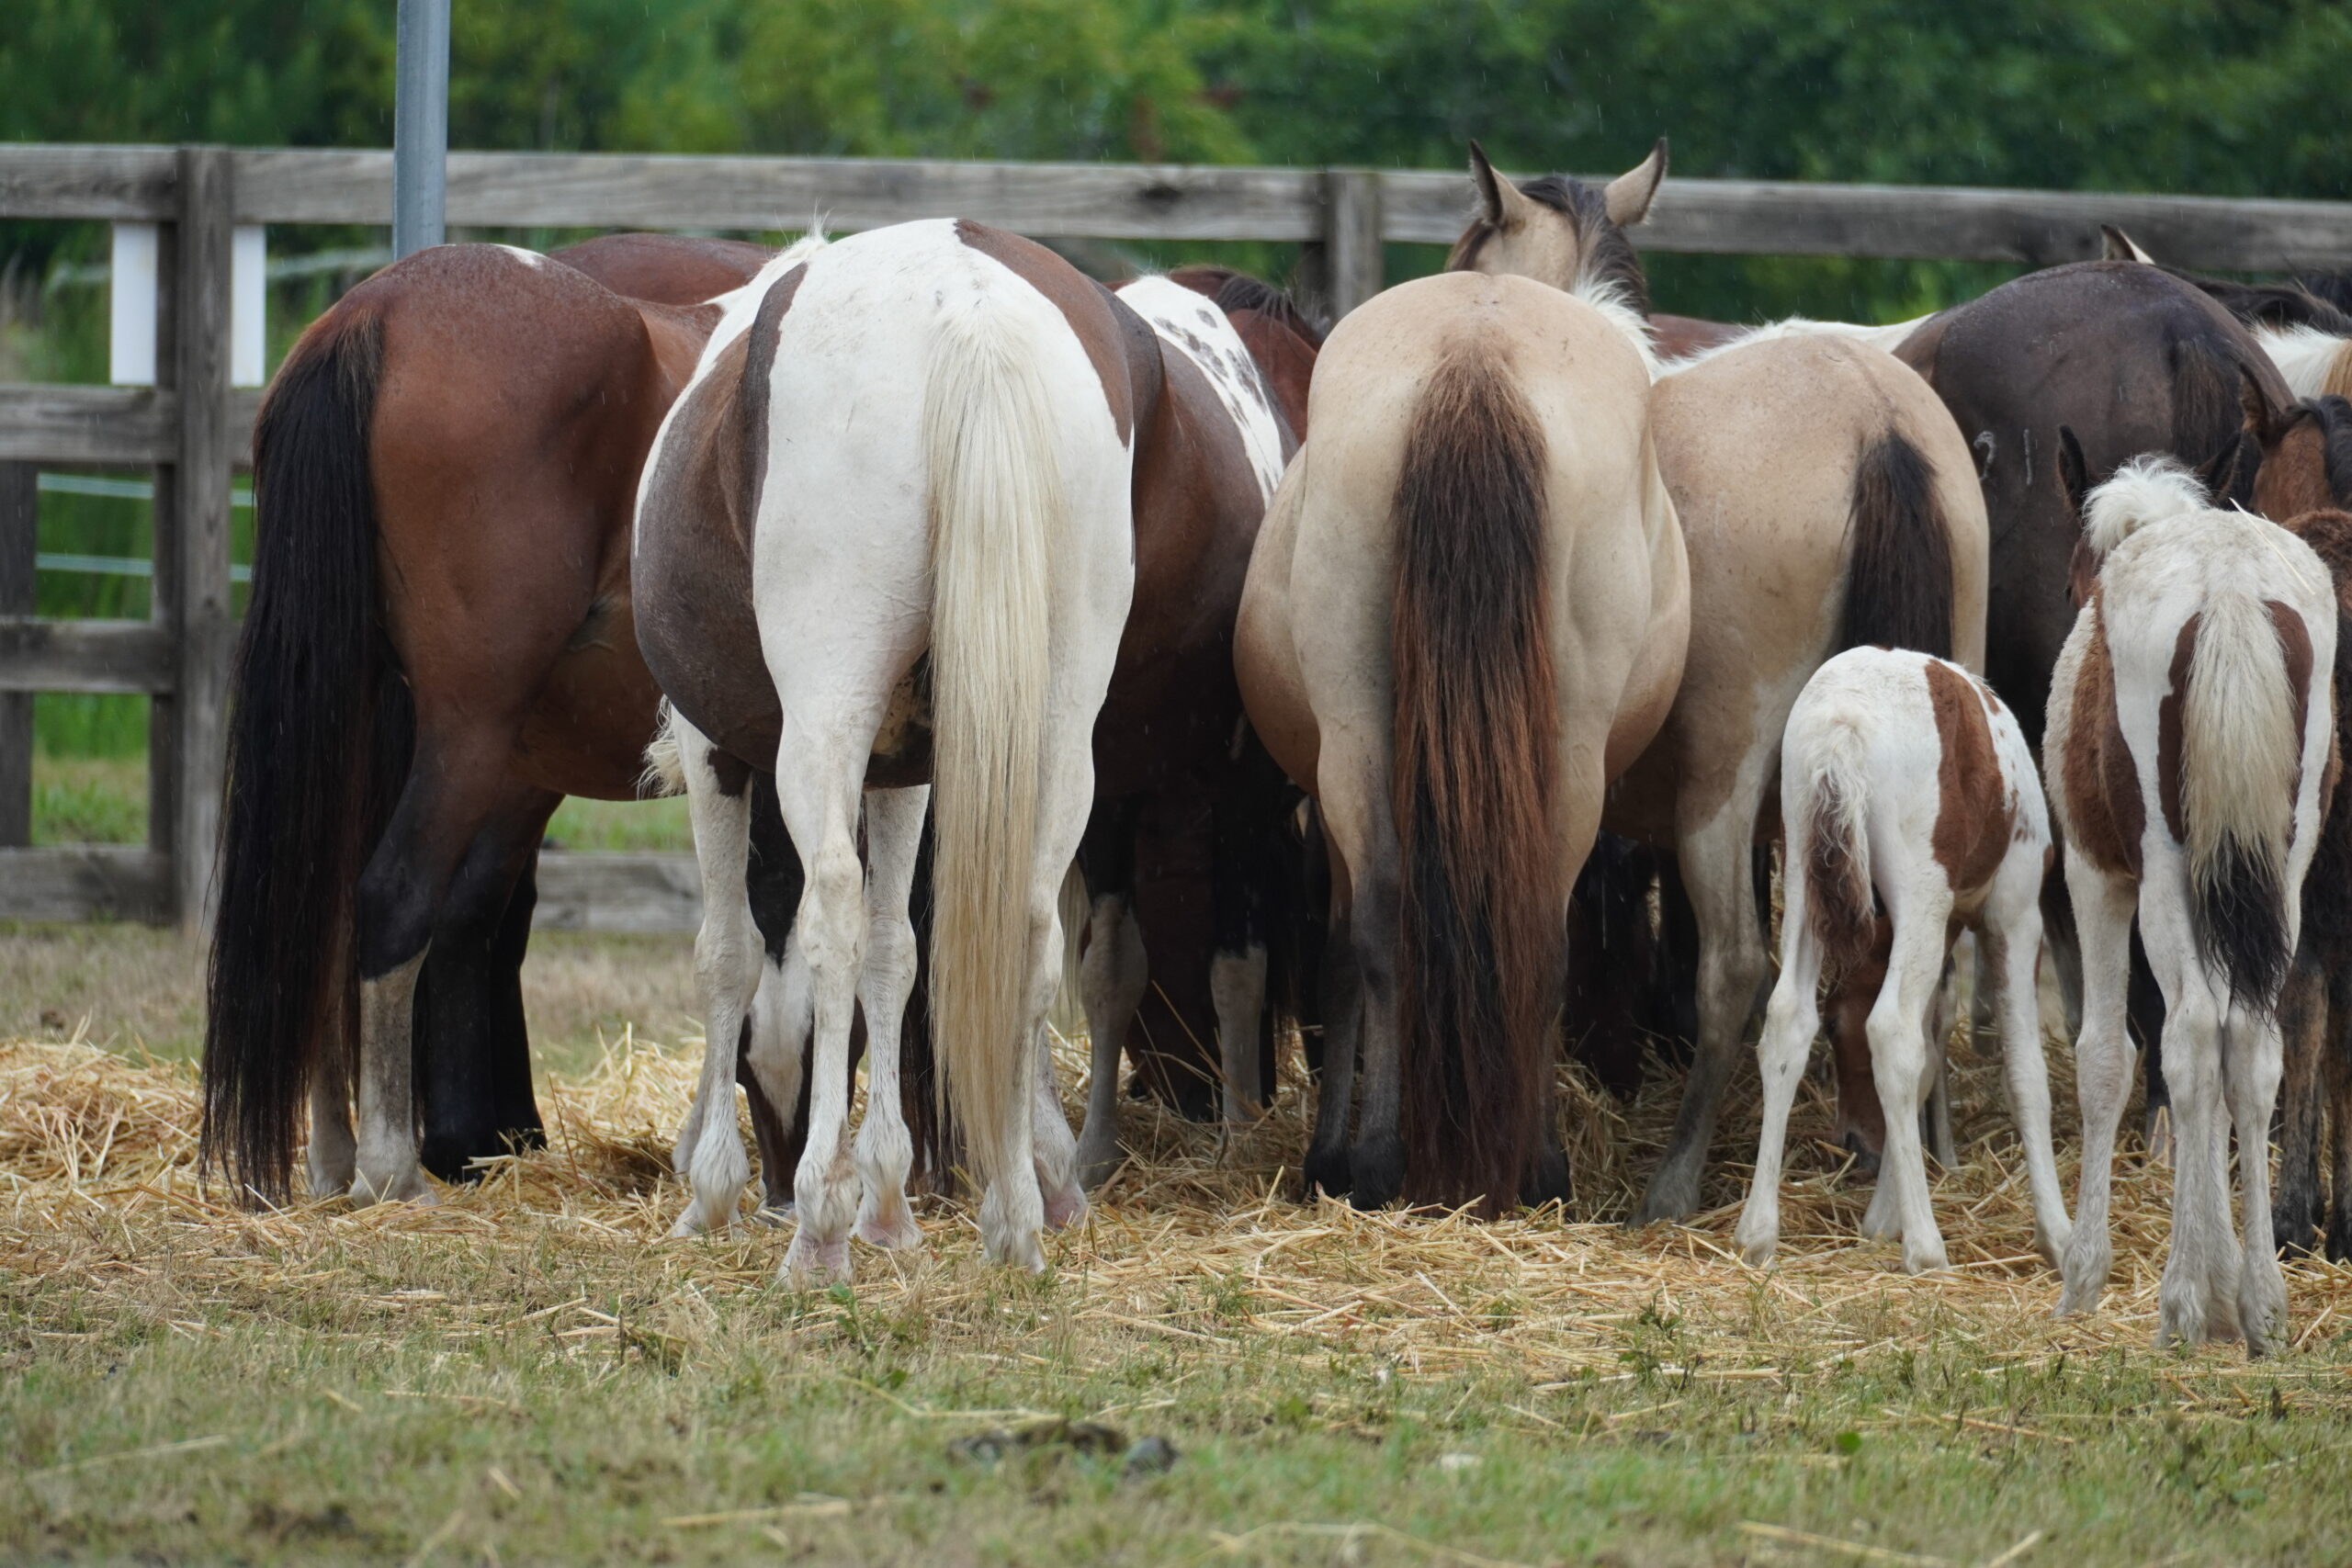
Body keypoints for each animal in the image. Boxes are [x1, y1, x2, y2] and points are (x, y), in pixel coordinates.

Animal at [639, 217, 1152, 1279]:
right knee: (1028, 922)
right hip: (1059, 727)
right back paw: (1015, 1217)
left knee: (831, 909)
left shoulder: (716, 751)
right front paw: (887, 1196)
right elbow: (895, 953)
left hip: (822, 719)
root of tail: (971, 308)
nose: (772, 1180)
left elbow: (729, 953)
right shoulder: (907, 771)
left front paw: (716, 1190)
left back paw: (818, 1233)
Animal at [1232, 141, 1693, 1213]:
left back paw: (1380, 1162)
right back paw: (1522, 1166)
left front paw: (1335, 1152)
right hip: (1568, 757)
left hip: (1359, 733)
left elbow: (1342, 949)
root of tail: (1474, 358)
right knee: (1530, 934)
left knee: (1382, 920)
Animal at [1439, 143, 1994, 1222]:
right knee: (1932, 960)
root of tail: (1874, 421)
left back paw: (1675, 1179)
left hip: (1723, 787)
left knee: (1736, 965)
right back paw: (1919, 1167)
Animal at [1740, 649, 2069, 1279]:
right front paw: (2060, 1237)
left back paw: (1756, 1233)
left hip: (1803, 878)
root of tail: (1842, 724)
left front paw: (1878, 1218)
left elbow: (1928, 1054)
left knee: (1788, 1021)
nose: (1853, 1142)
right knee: (1892, 1030)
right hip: (1923, 892)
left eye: (1837, 1033)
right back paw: (1926, 1247)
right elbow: (2023, 1072)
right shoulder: (2013, 914)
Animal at [2041, 446, 2333, 1354]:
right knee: (2255, 1040)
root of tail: (2230, 585)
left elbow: (2107, 1056)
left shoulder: (2095, 874)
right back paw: (2262, 1304)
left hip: (2165, 872)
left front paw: (2088, 1276)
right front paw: (2227, 1286)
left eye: (2075, 581)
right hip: (2284, 863)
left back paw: (2178, 1303)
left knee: (2195, 1030)